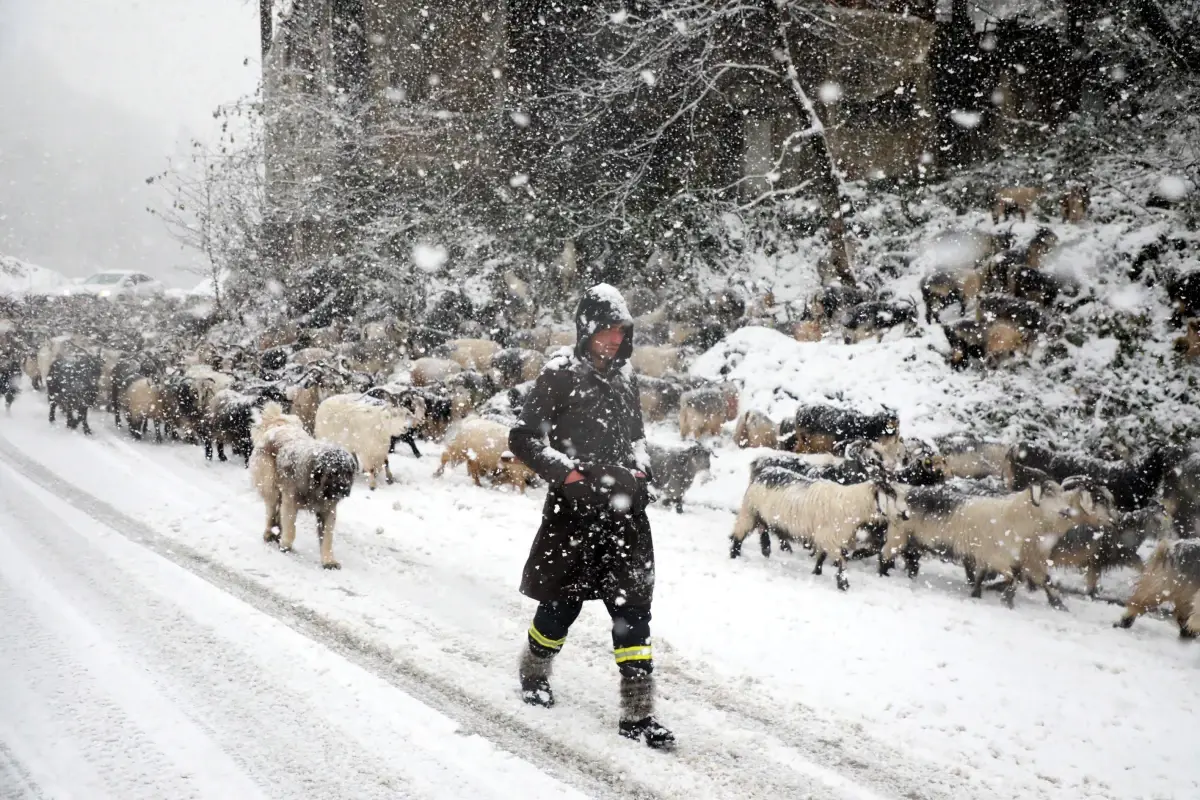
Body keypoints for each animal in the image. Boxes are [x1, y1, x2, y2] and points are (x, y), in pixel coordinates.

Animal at [724, 472, 902, 592]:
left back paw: (766, 549)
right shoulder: (830, 537)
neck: (853, 505)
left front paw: (817, 572)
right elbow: (842, 561)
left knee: (764, 529)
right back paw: (735, 555)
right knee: (739, 535)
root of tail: (763, 473)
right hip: (749, 512)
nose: (905, 515)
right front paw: (843, 585)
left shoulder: (827, 538)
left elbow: (822, 556)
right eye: (891, 494)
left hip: (761, 515)